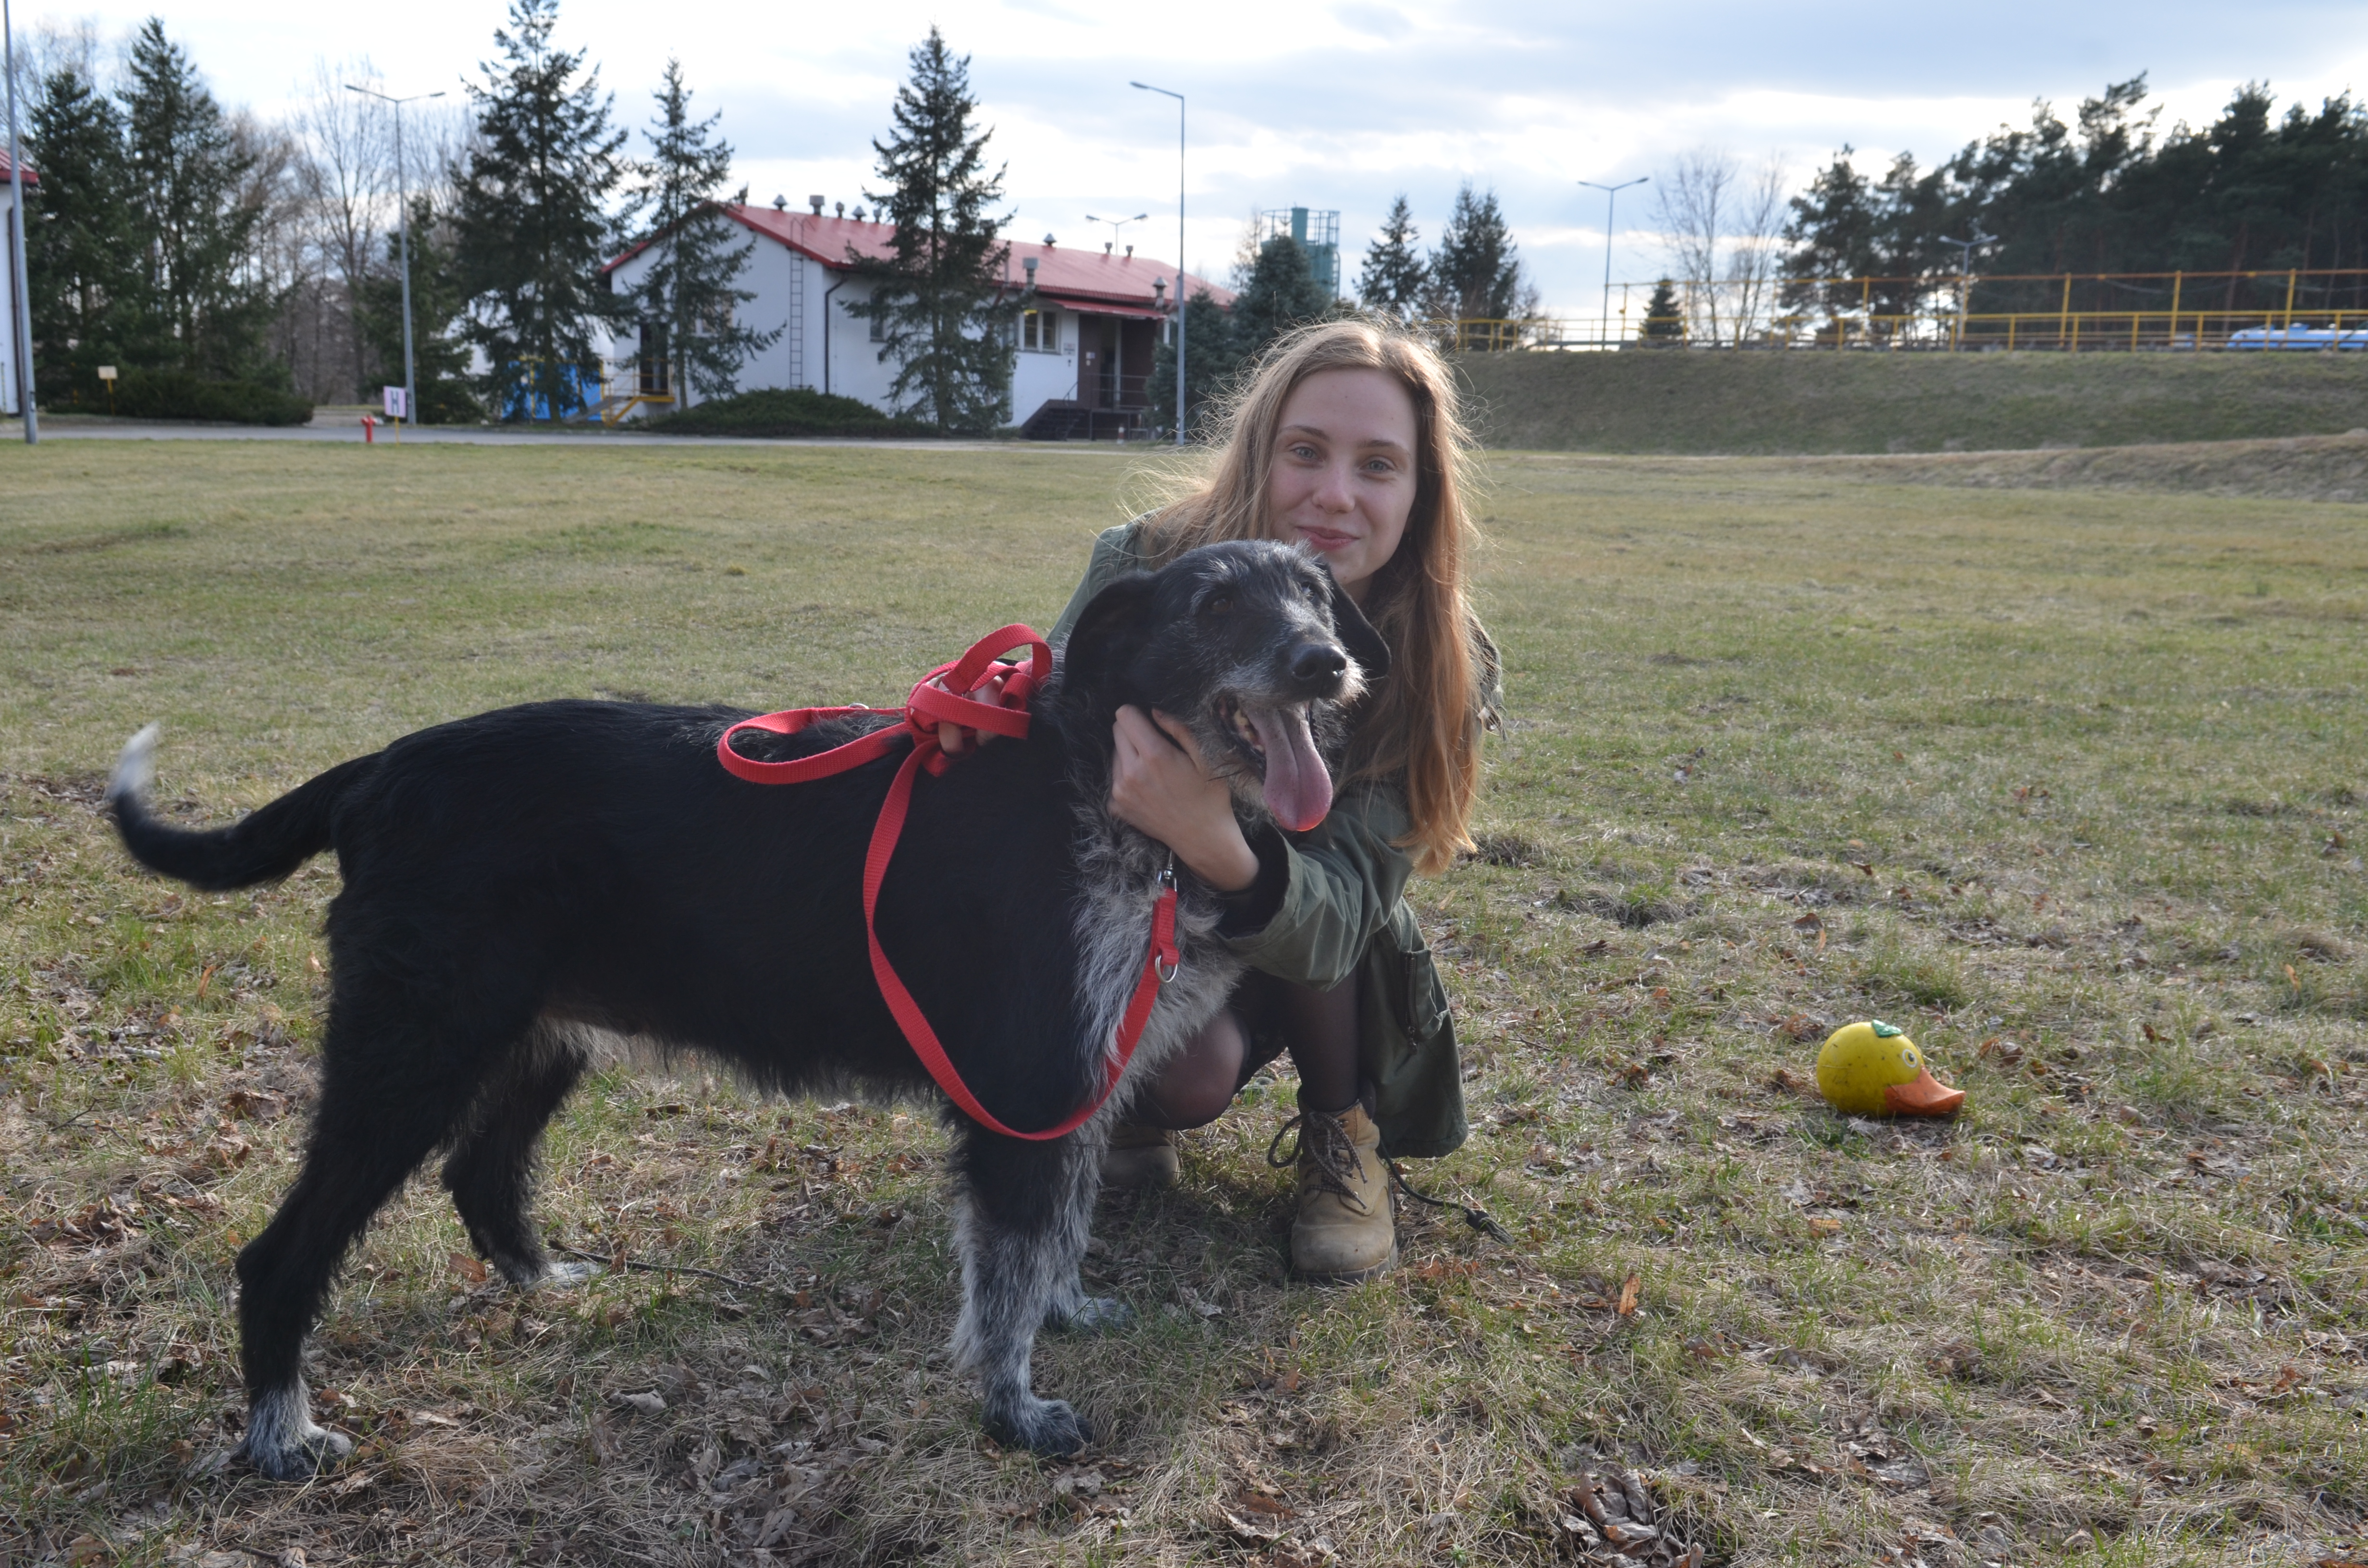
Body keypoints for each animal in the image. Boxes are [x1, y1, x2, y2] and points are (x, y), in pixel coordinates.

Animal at [106, 545, 1382, 1487]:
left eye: (1316, 594)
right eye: (1214, 603)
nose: (1324, 663)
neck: (1098, 777)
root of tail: (377, 770)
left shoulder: (1073, 1093)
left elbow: (1054, 1237)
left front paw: (1064, 1313)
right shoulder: (1022, 1091)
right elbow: (1009, 1265)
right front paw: (1013, 1410)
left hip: (531, 1042)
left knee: (481, 1173)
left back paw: (540, 1281)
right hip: (406, 1056)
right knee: (281, 1254)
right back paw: (280, 1434)